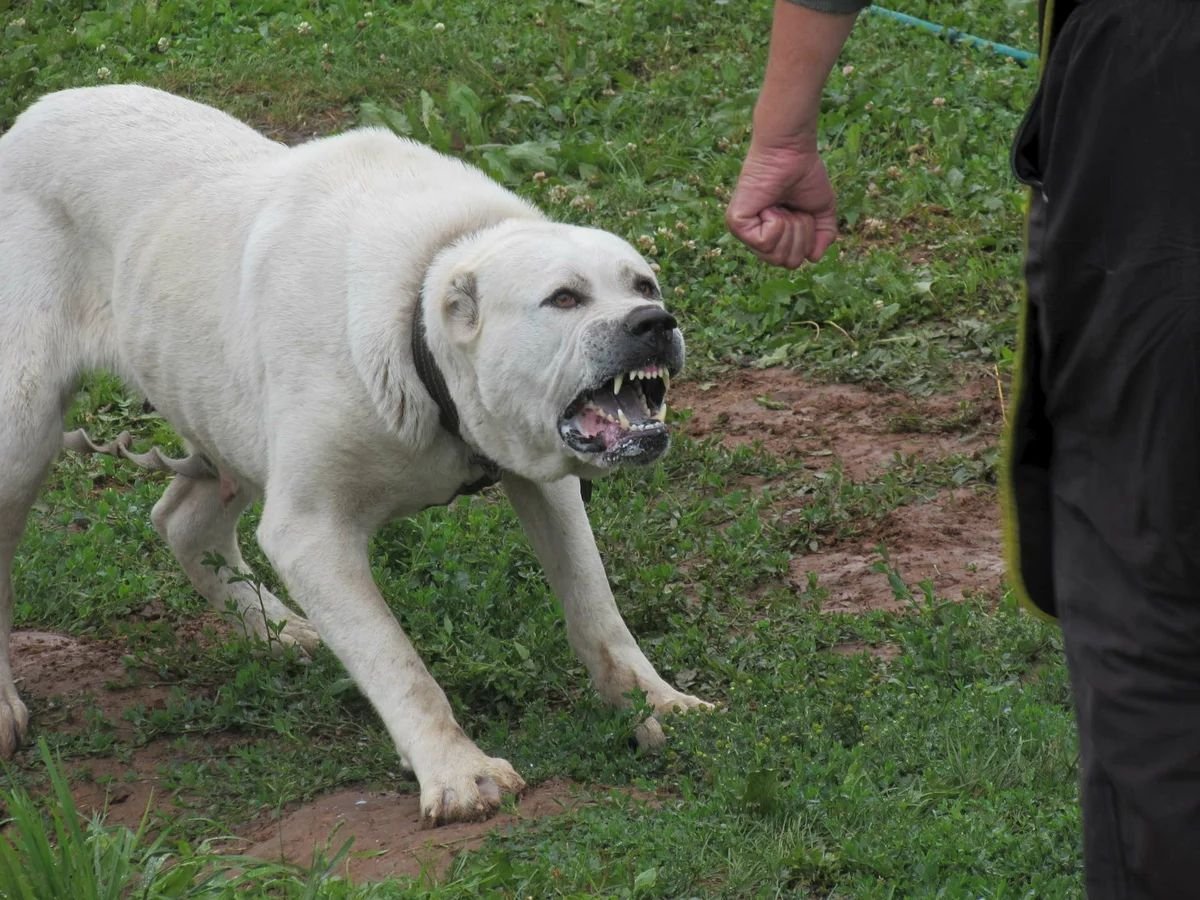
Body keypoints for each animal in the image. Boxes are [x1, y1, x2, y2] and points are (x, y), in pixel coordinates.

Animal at [0, 88, 710, 830]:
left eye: (644, 284)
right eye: (564, 299)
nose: (655, 323)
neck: (420, 327)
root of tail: (31, 117)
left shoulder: (545, 483)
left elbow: (596, 607)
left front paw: (656, 701)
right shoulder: (310, 530)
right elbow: (396, 661)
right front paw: (458, 772)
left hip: (226, 415)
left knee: (183, 521)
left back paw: (278, 629)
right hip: (23, 430)